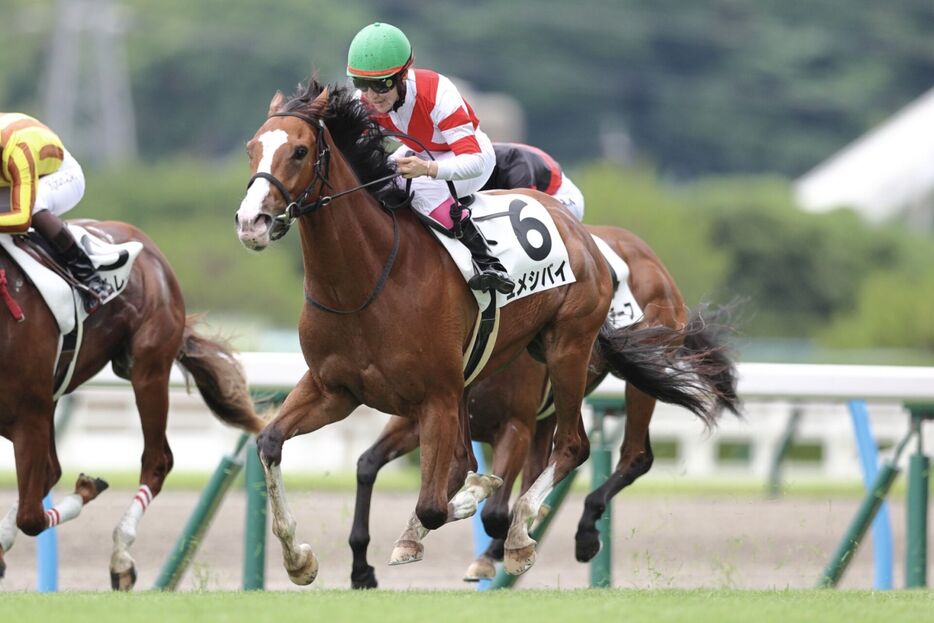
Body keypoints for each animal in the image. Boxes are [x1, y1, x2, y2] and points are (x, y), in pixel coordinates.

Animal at [0, 219, 264, 588]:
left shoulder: (29, 415)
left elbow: (32, 518)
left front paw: (87, 488)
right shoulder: (31, 414)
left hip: (147, 370)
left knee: (158, 461)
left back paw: (121, 556)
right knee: (50, 472)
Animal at [344, 225, 740, 588]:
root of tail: (650, 258)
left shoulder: (514, 426)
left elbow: (493, 511)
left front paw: (495, 546)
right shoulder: (423, 414)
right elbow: (368, 465)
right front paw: (363, 568)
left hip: (636, 371)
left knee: (634, 456)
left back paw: (585, 533)